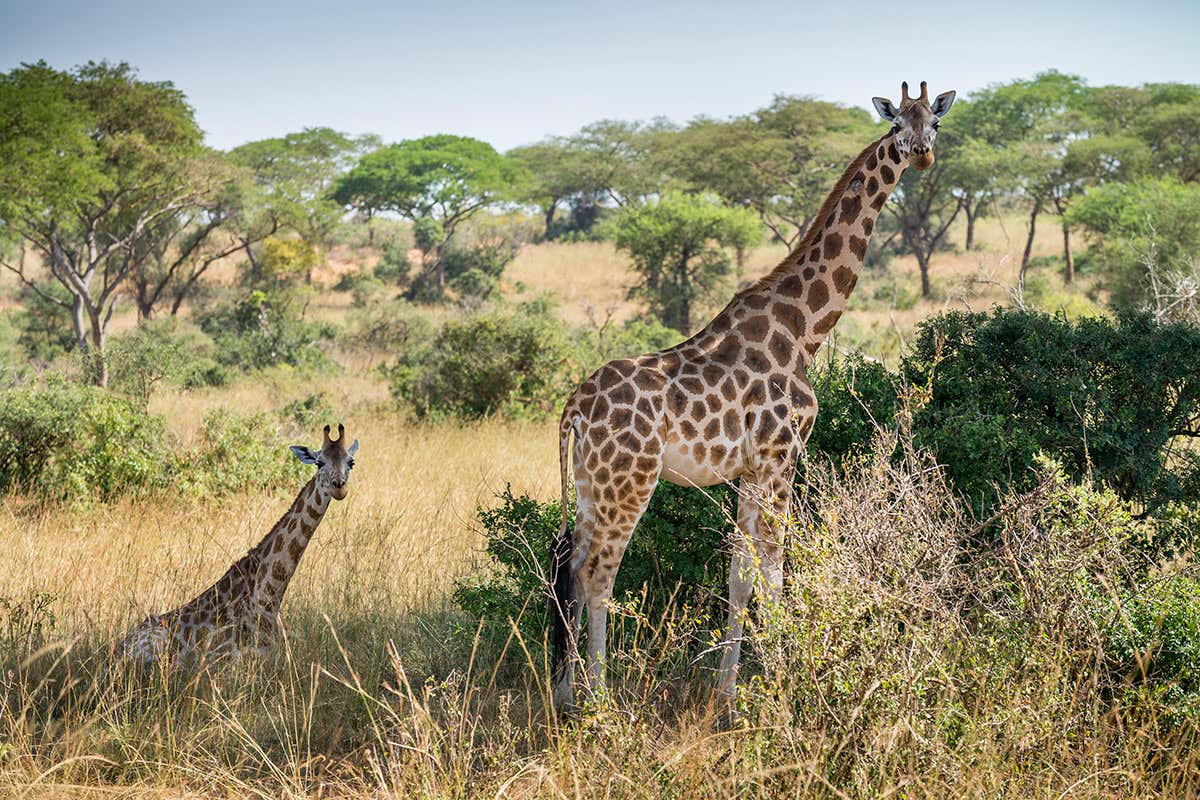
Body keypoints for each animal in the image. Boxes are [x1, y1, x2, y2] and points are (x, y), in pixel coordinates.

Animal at [120, 424, 359, 668]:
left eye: (351, 462)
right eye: (319, 462)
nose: (339, 488)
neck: (268, 596)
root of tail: (120, 647)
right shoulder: (231, 663)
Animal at [549, 82, 956, 709]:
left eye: (933, 121)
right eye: (896, 125)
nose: (923, 155)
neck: (805, 330)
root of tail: (574, 406)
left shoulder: (750, 469)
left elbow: (741, 576)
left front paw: (729, 692)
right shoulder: (779, 458)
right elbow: (774, 573)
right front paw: (783, 681)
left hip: (593, 486)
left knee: (571, 568)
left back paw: (568, 694)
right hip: (631, 480)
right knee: (599, 573)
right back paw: (600, 699)